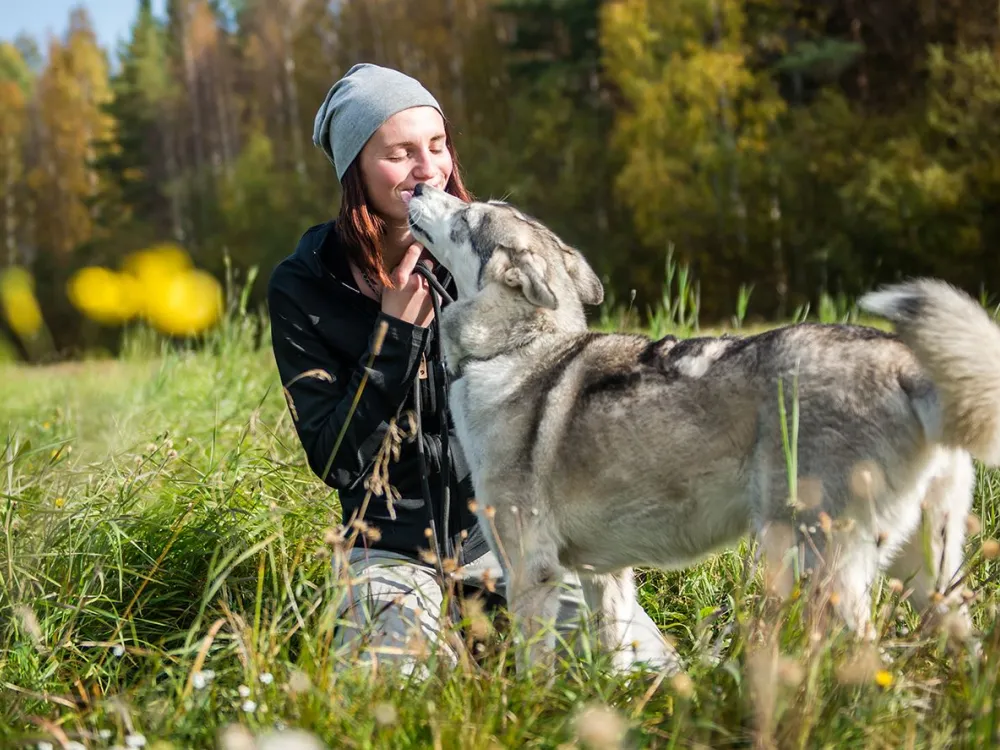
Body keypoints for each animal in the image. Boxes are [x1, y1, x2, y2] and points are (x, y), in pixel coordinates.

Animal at [404, 184, 1000, 676]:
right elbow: (614, 659)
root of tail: (906, 366)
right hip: (927, 576)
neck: (515, 351)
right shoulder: (605, 576)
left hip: (819, 568)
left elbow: (533, 674)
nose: (416, 186)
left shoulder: (531, 571)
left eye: (466, 214)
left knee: (869, 658)